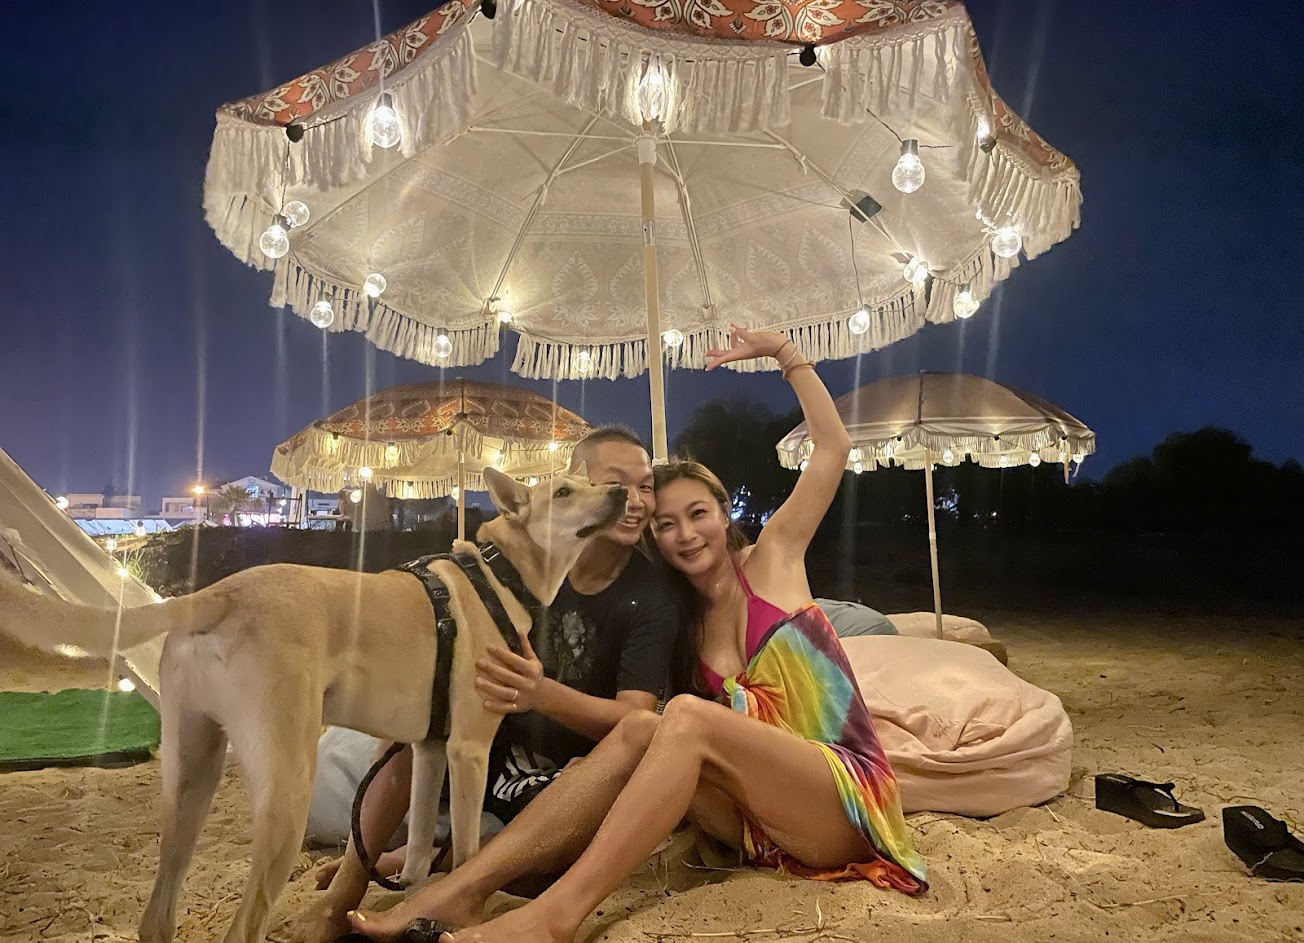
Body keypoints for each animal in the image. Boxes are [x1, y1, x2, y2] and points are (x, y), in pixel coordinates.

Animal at [0, 466, 626, 943]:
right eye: (563, 492)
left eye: (591, 481)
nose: (621, 491)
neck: (495, 570)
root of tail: (219, 592)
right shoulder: (468, 750)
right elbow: (468, 857)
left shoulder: (428, 751)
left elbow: (419, 860)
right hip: (286, 793)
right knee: (242, 930)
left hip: (191, 781)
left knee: (157, 919)